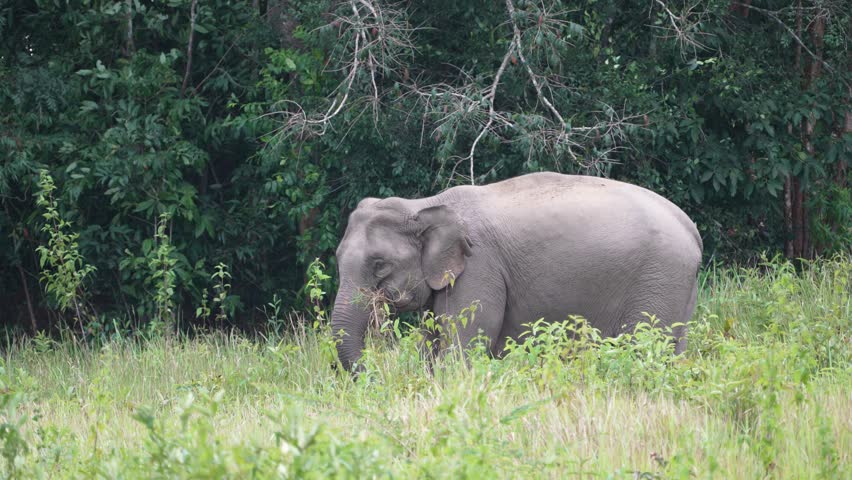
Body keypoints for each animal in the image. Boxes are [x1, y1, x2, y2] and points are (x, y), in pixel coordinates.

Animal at [331, 172, 703, 372]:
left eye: (379, 265)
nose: (373, 375)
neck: (423, 205)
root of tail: (692, 230)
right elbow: (433, 345)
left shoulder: (479, 268)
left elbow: (464, 344)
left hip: (660, 278)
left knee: (645, 348)